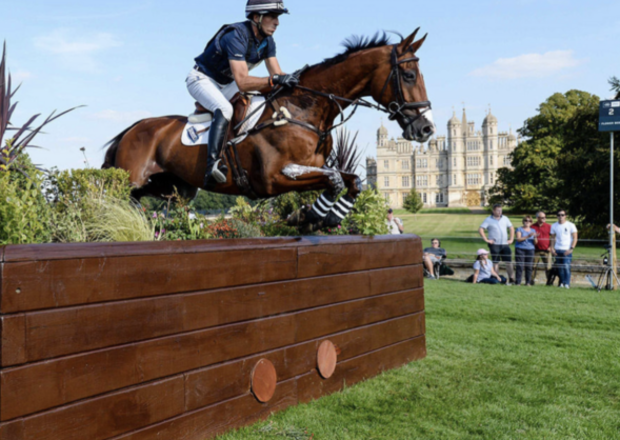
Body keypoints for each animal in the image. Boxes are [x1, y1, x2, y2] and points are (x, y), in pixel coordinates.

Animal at [101, 28, 434, 229]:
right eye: (408, 75)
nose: (426, 129)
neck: (304, 110)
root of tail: (131, 129)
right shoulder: (274, 179)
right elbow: (335, 179)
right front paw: (309, 214)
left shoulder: (313, 168)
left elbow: (350, 181)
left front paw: (321, 217)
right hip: (131, 180)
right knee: (116, 199)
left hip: (174, 188)